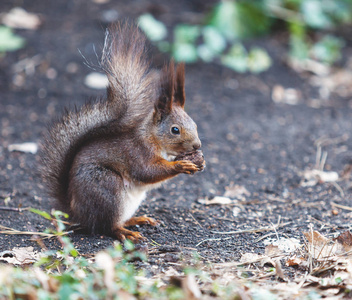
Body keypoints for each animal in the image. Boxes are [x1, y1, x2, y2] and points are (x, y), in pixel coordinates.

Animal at [41, 23, 205, 241]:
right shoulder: (136, 152)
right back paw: (127, 233)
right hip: (107, 187)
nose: (197, 145)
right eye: (175, 130)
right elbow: (148, 172)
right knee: (109, 226)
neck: (152, 138)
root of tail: (75, 210)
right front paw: (181, 165)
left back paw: (138, 220)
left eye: (195, 124)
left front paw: (199, 162)